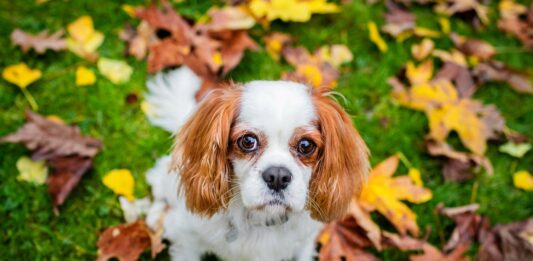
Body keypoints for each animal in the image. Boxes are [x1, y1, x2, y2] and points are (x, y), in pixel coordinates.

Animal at [143, 66, 368, 260]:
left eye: (306, 145)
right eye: (248, 141)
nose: (277, 176)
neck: (262, 219)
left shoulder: (304, 242)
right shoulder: (186, 236)